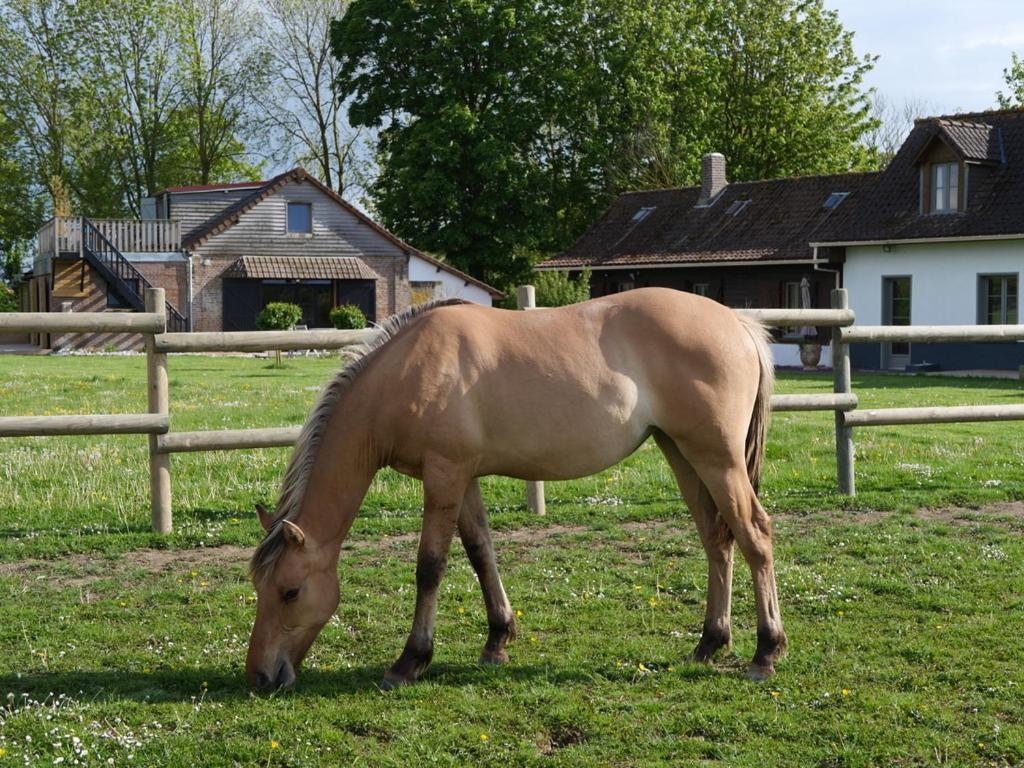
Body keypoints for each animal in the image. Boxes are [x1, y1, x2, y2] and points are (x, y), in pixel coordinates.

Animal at [245, 288, 782, 692]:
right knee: (717, 539)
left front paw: (410, 661)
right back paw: (710, 643)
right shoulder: (464, 479)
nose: (261, 676)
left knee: (755, 534)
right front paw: (497, 641)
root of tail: (738, 324)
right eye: (259, 588)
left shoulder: (445, 474)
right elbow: (481, 552)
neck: (408, 371)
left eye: (290, 591)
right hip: (682, 454)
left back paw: (765, 651)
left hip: (717, 459)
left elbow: (430, 567)